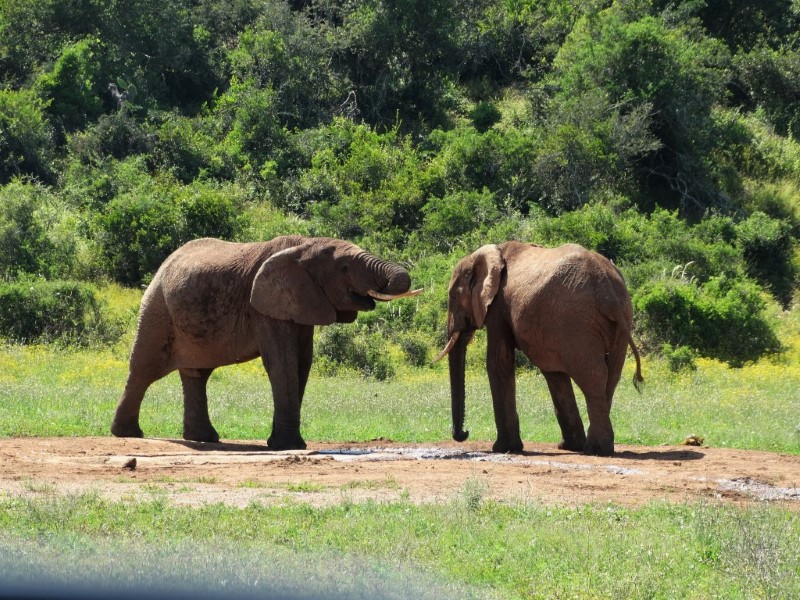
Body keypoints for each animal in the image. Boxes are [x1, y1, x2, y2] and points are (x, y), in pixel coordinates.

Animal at [114, 234, 424, 450]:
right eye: (345, 267)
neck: (304, 245)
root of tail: (164, 262)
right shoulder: (264, 308)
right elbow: (282, 363)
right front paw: (289, 446)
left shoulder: (301, 304)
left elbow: (301, 365)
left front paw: (280, 444)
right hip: (157, 309)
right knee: (143, 369)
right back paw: (128, 434)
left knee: (196, 375)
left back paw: (205, 439)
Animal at [434, 241, 640, 458]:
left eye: (453, 296)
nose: (464, 433)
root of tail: (608, 294)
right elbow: (554, 373)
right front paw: (568, 446)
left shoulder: (499, 304)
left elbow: (499, 362)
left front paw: (503, 448)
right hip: (620, 320)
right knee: (611, 378)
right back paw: (593, 447)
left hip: (578, 323)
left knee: (593, 377)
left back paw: (595, 450)